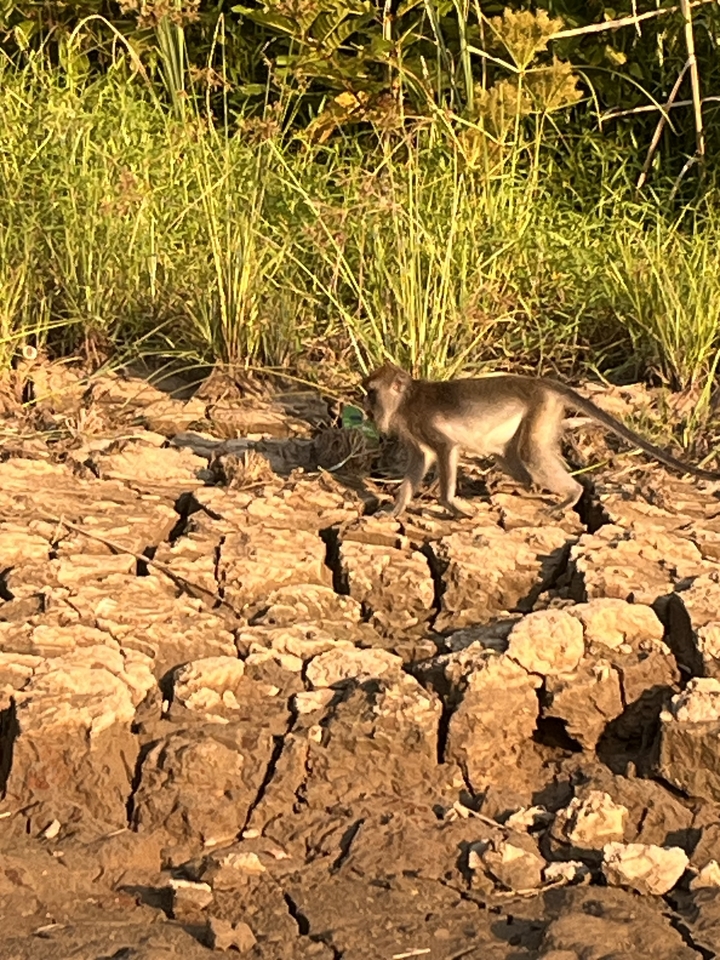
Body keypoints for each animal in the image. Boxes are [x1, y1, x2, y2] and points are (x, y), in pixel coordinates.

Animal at [361, 362, 720, 519]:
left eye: (371, 393)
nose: (367, 408)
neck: (406, 400)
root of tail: (543, 383)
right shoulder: (413, 432)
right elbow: (419, 462)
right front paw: (395, 509)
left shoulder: (424, 422)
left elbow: (447, 449)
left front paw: (452, 505)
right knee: (510, 455)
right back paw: (527, 487)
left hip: (540, 409)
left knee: (529, 454)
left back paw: (570, 495)